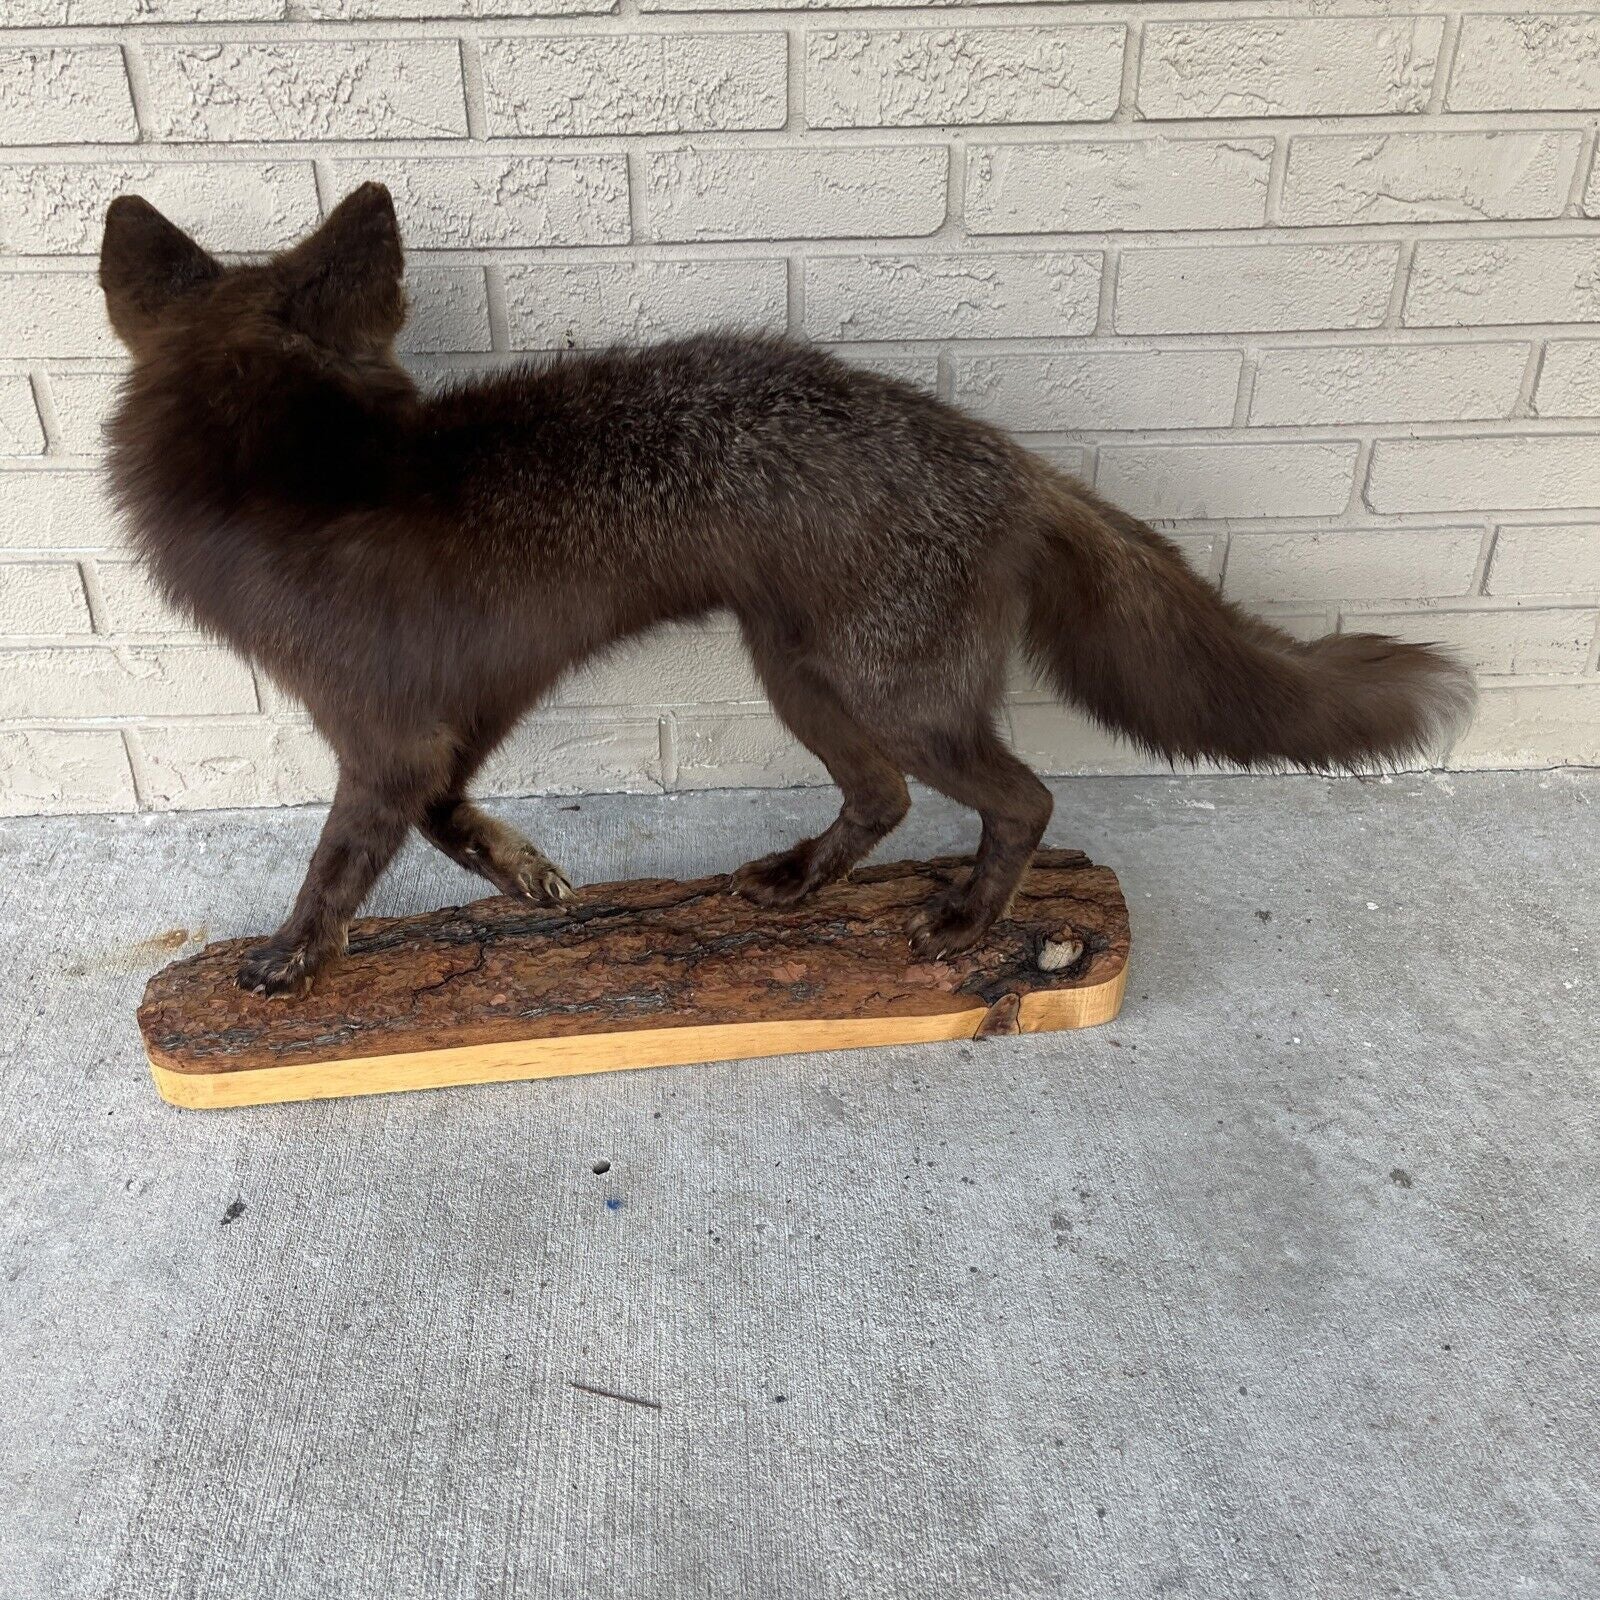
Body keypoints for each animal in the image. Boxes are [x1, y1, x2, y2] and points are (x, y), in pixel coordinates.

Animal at [99, 183, 1474, 998]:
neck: (295, 493)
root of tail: (1008, 458)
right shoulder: (458, 716)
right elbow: (454, 822)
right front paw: (526, 875)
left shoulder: (381, 738)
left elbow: (337, 864)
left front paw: (292, 953)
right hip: (799, 675)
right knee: (882, 801)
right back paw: (807, 881)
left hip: (892, 694)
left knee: (1020, 797)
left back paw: (969, 920)